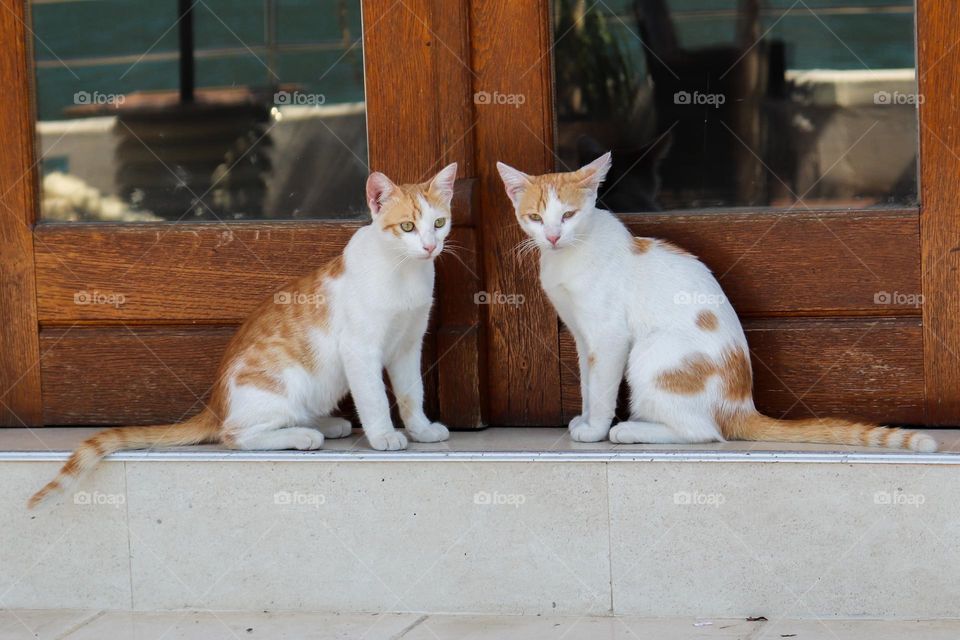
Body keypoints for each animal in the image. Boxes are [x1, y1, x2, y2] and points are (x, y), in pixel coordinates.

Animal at [31, 165, 460, 510]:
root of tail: (216, 404)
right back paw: (303, 435)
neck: (404, 272)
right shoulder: (360, 348)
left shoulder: (408, 345)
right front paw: (384, 435)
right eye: (407, 226)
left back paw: (322, 424)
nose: (430, 246)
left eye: (438, 223)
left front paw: (421, 430)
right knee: (235, 436)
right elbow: (373, 397)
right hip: (282, 383)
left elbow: (411, 394)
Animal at [498, 152, 932, 452]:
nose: (553, 236)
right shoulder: (582, 335)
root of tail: (741, 405)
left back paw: (631, 430)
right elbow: (589, 384)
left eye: (569, 215)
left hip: (652, 355)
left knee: (704, 432)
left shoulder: (608, 337)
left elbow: (602, 388)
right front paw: (585, 419)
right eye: (535, 218)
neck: (569, 256)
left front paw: (596, 429)